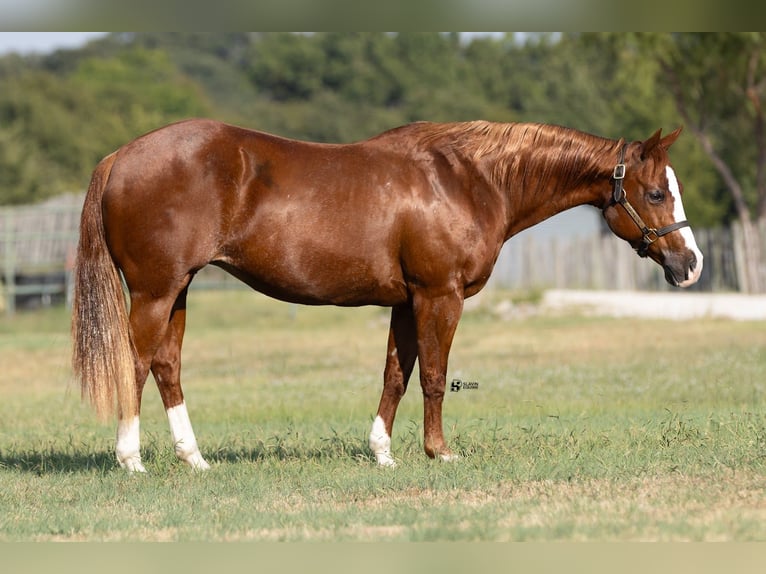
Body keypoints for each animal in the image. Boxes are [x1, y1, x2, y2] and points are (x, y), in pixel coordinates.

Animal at [71, 119, 703, 471]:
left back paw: (195, 459)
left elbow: (396, 373)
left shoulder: (406, 300)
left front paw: (382, 452)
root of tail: (120, 157)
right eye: (655, 192)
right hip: (155, 291)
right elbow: (434, 376)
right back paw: (131, 460)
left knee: (166, 365)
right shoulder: (440, 296)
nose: (691, 264)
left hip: (178, 290)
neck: (468, 179)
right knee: (136, 362)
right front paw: (438, 452)